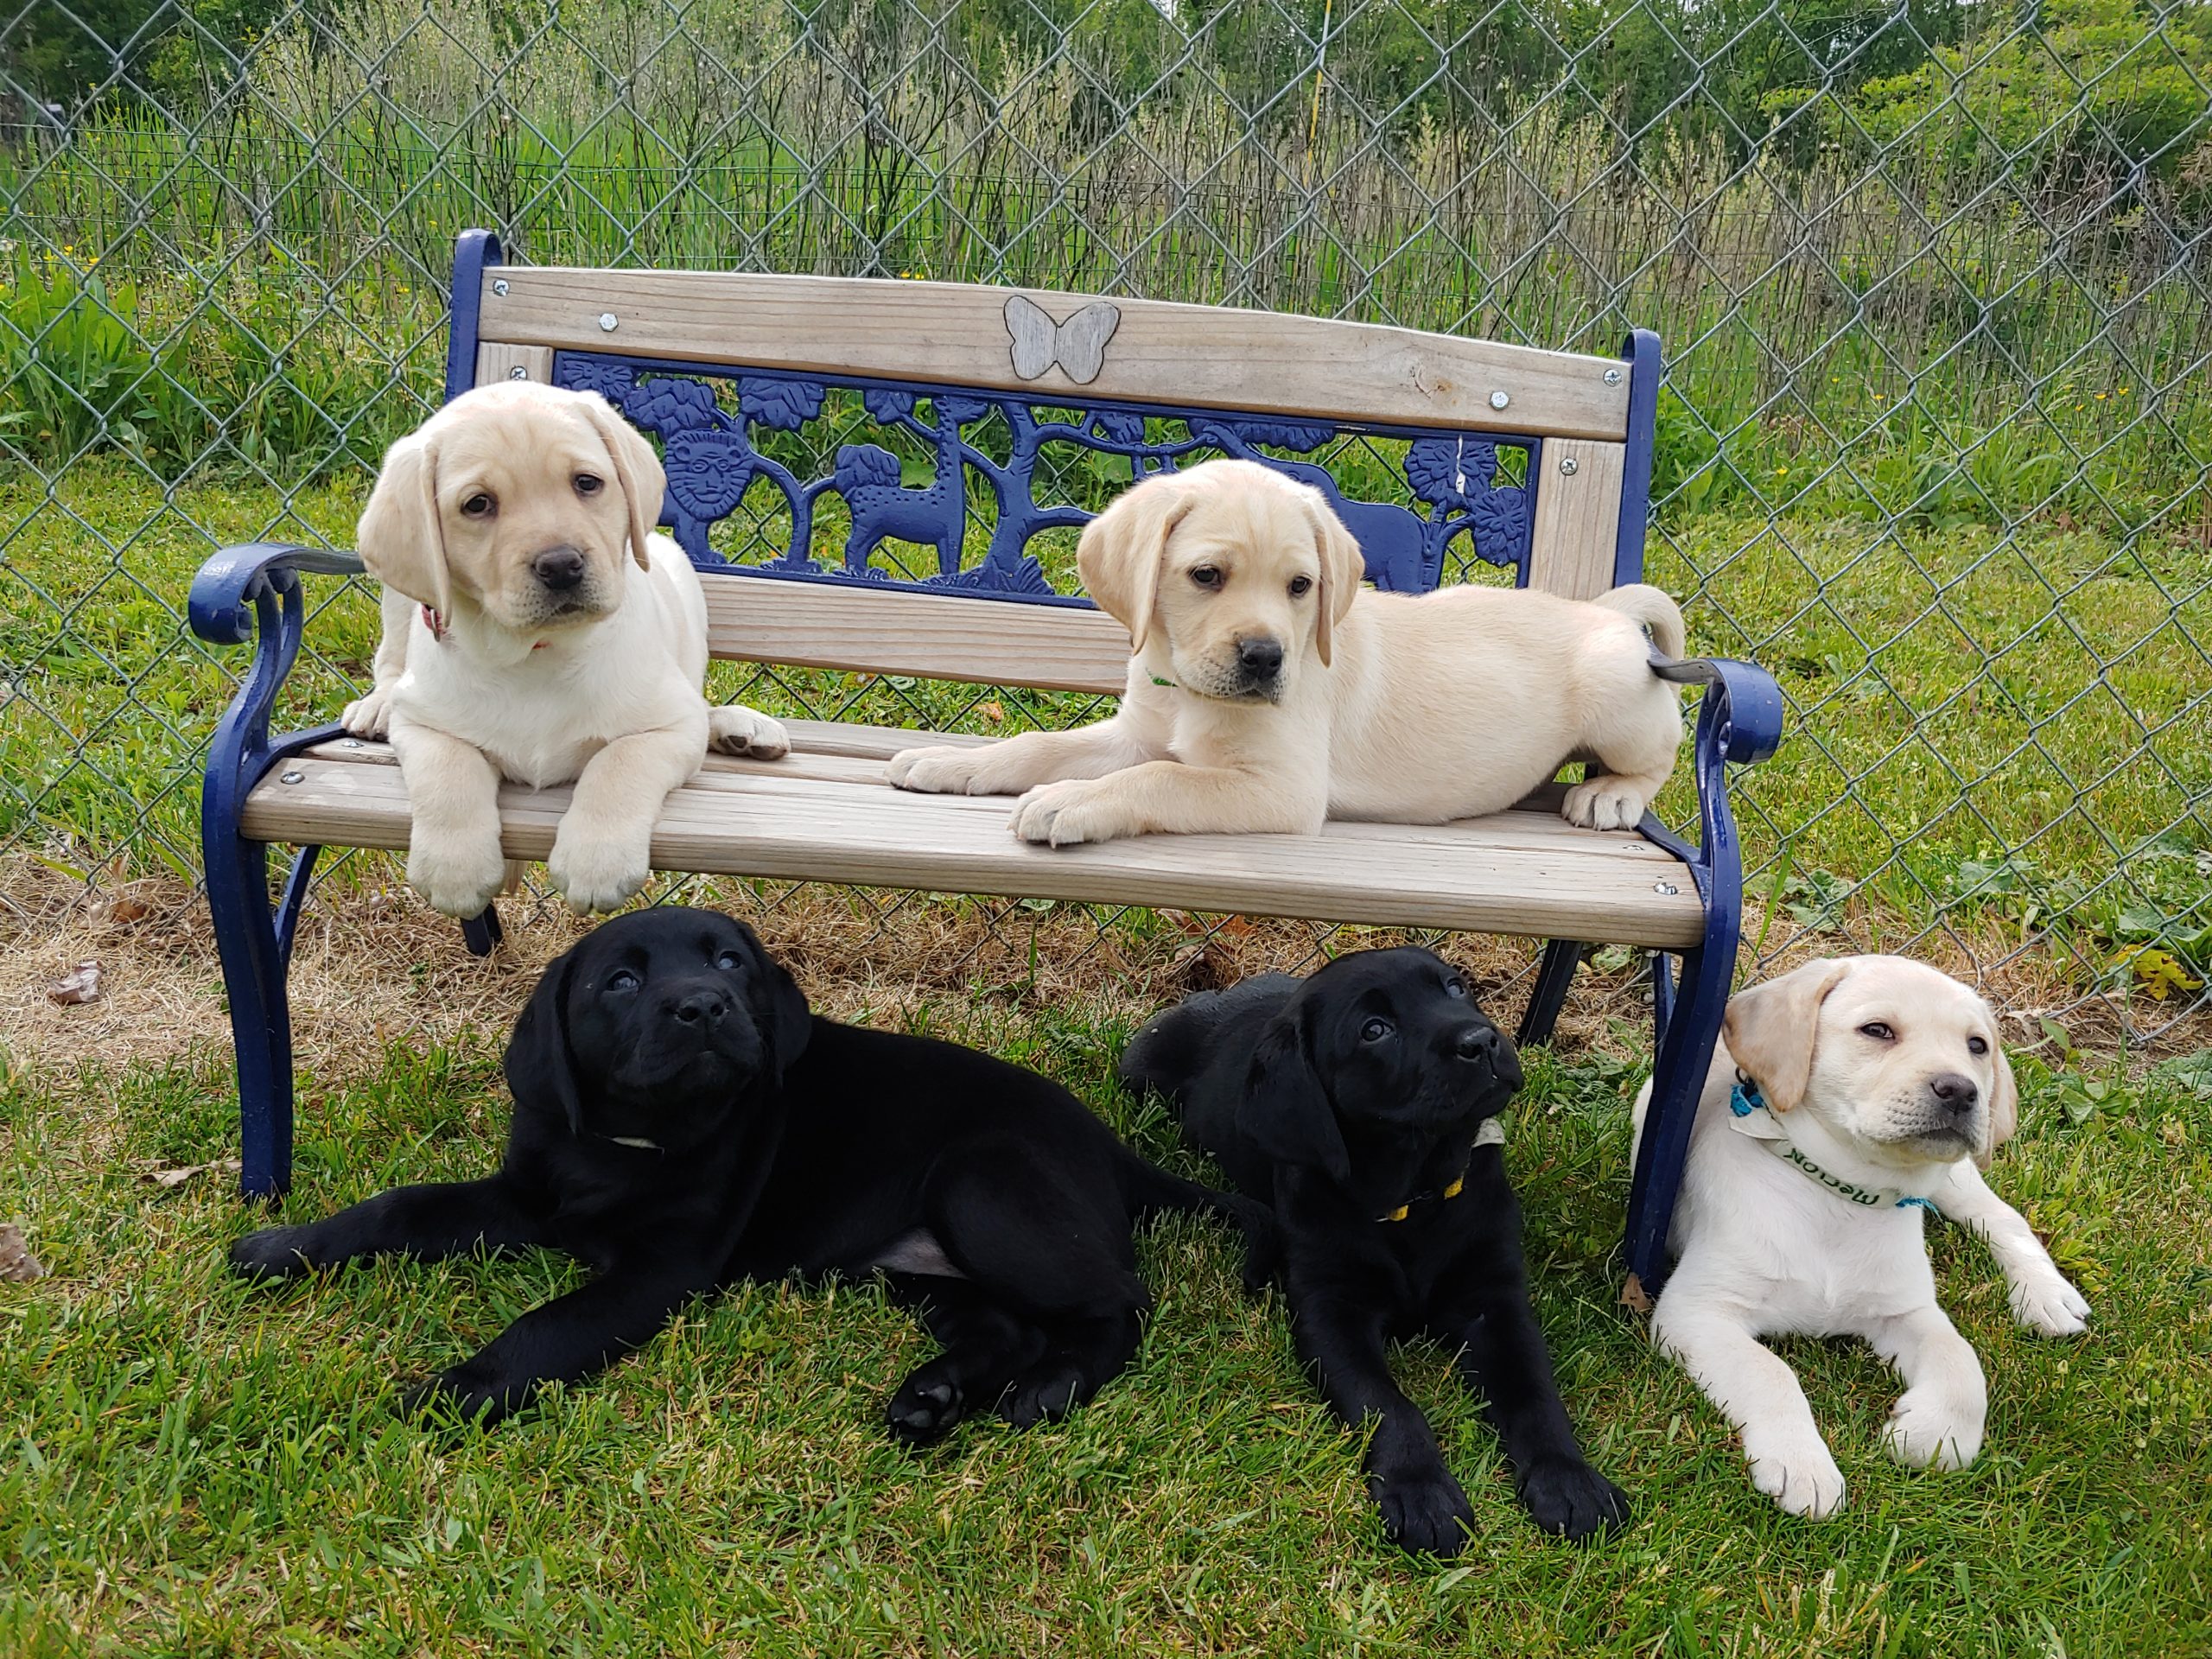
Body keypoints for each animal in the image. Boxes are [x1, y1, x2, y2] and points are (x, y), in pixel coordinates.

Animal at [340, 382, 791, 915]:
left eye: (587, 483)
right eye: (478, 504)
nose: (561, 565)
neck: (537, 651)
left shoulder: (669, 726)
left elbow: (618, 763)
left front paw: (596, 861)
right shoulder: (424, 722)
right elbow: (448, 771)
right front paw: (455, 868)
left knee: (699, 702)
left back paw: (740, 728)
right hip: (401, 601)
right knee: (390, 663)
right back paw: (377, 706)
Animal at [889, 455, 1681, 844]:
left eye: (1301, 587)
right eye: (1207, 576)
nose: (1267, 659)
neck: (1184, 689)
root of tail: (1604, 610)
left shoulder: (1280, 787)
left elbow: (1160, 779)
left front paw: (1071, 802)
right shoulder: (1133, 735)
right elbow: (1041, 745)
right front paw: (952, 761)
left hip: (1616, 696)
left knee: (1656, 756)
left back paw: (1609, 795)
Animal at [1123, 946, 1628, 1557]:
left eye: (1456, 988)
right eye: (1374, 1030)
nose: (1483, 1040)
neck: (1414, 1196)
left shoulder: (1496, 1299)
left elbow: (1533, 1392)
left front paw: (1569, 1481)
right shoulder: (1330, 1311)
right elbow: (1387, 1405)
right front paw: (1421, 1492)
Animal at [1645, 960, 2088, 1522]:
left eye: (1977, 1045)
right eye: (1877, 1030)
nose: (1961, 1090)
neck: (1840, 1194)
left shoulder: (1907, 1309)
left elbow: (1961, 1361)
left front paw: (1936, 1434)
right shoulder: (1696, 1310)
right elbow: (1769, 1372)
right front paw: (1803, 1466)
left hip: (1956, 1177)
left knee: (2001, 1218)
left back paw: (2046, 1295)